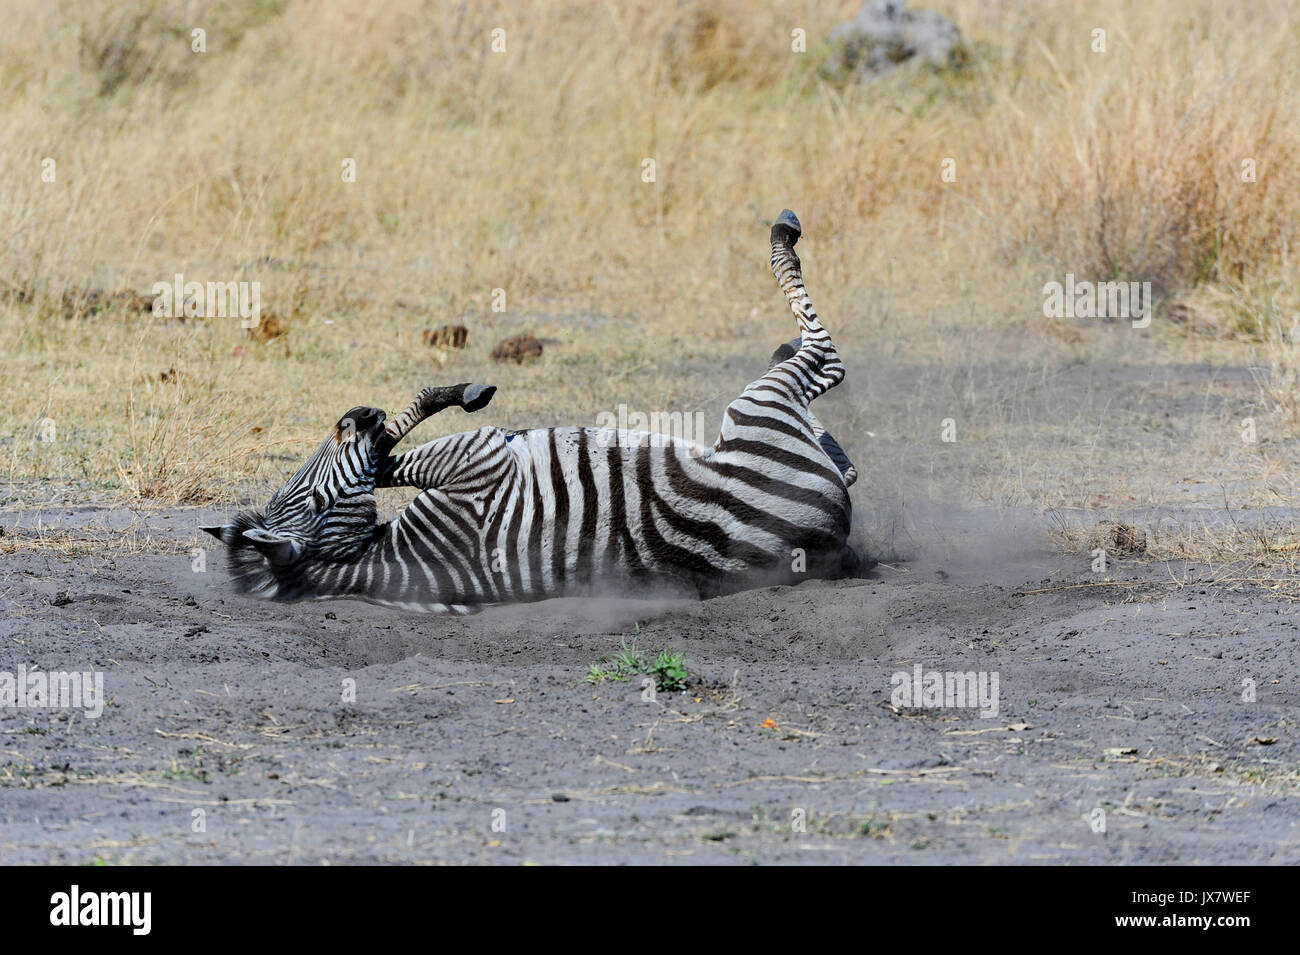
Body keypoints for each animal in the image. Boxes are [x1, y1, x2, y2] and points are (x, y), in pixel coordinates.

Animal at [202, 207, 863, 613]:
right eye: (311, 498)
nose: (354, 414)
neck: (377, 560)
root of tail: (829, 537)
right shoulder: (477, 460)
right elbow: (393, 450)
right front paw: (456, 395)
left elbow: (388, 454)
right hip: (758, 410)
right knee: (826, 361)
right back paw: (783, 236)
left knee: (829, 404)